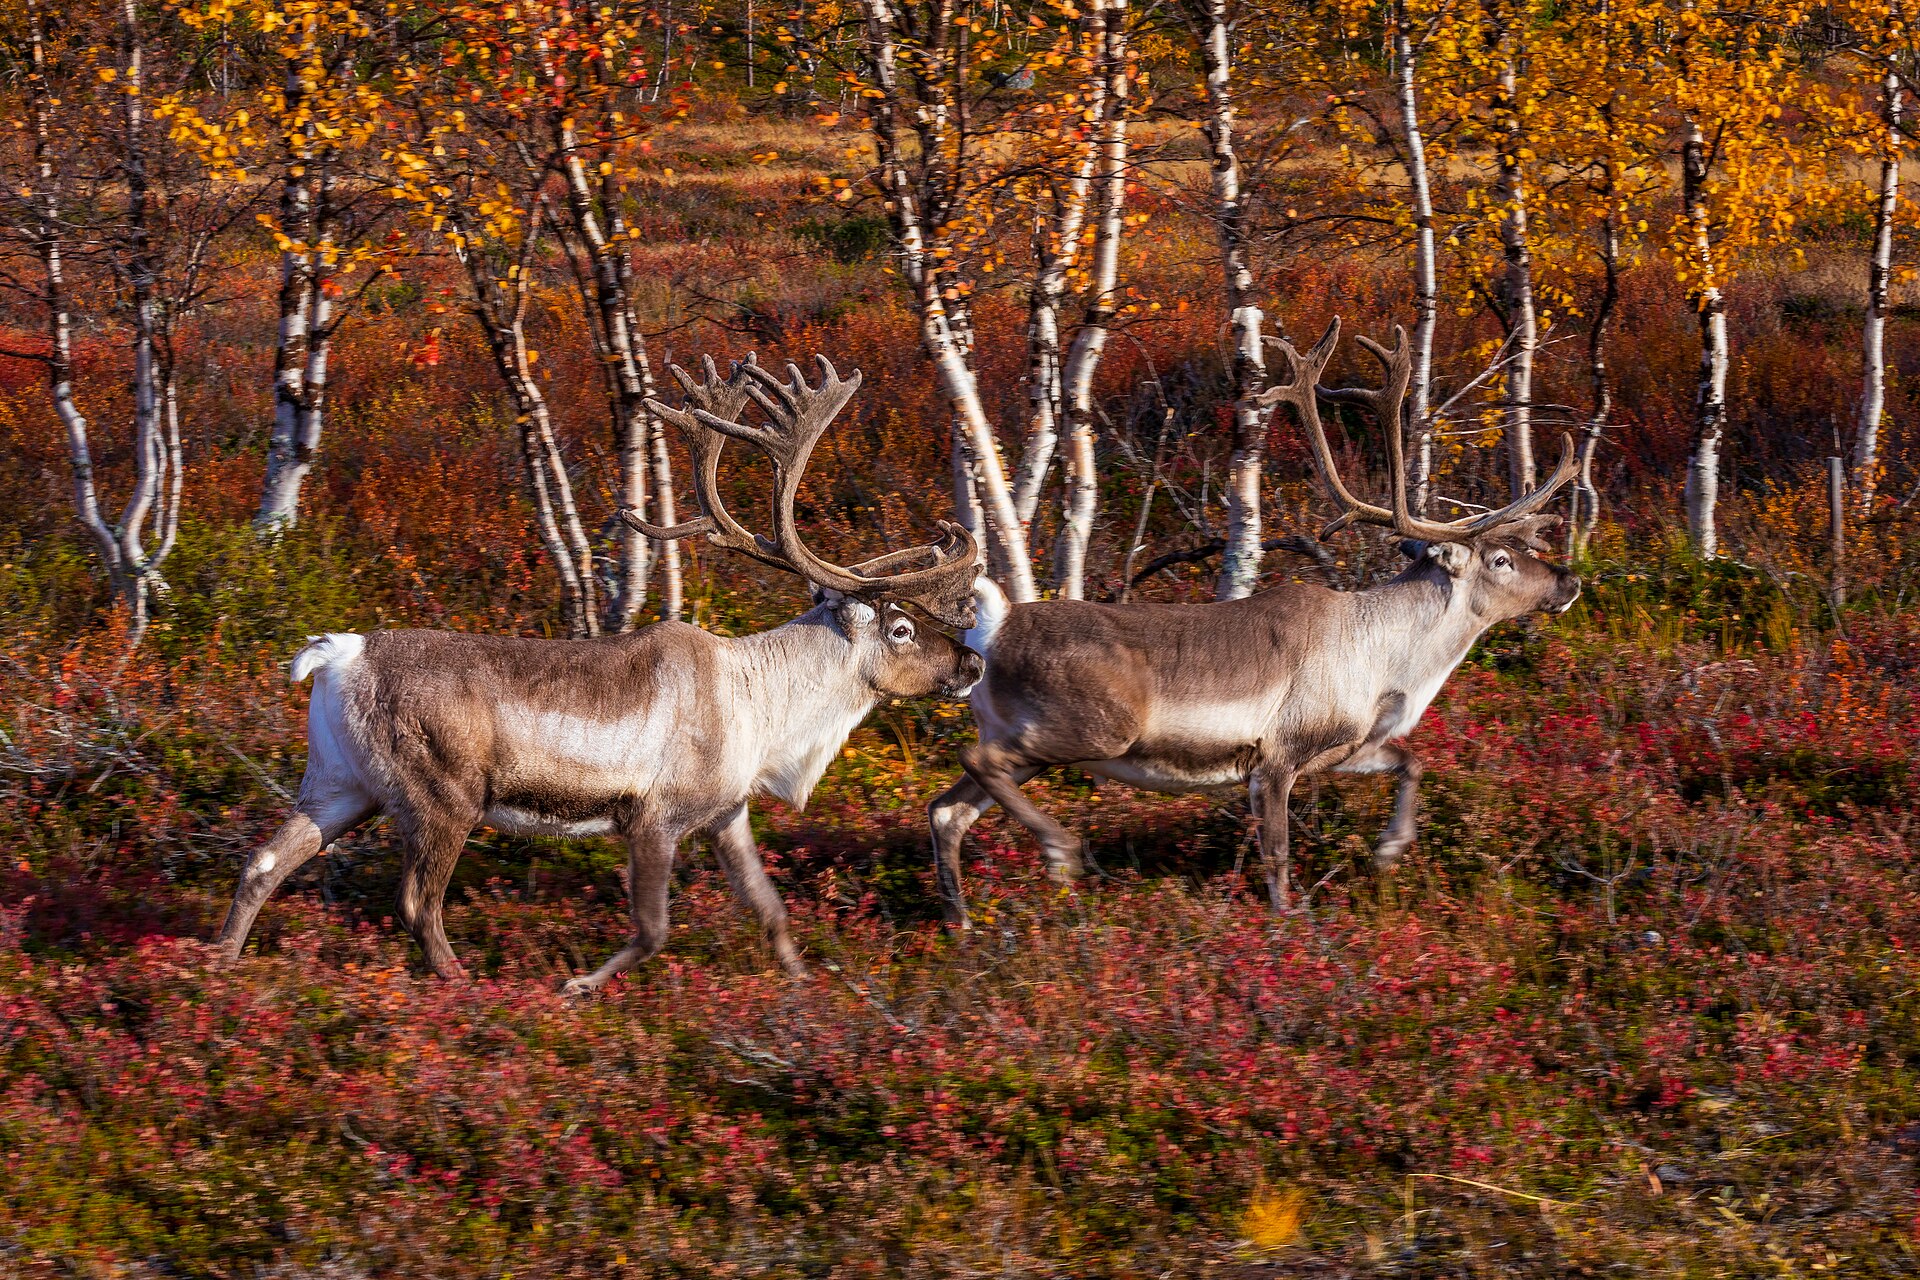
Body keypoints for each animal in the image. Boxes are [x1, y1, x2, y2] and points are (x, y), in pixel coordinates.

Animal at [214, 353, 984, 993]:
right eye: (902, 628)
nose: (973, 660)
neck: (764, 708)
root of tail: (337, 655)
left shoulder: (726, 813)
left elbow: (771, 911)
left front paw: (803, 987)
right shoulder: (653, 817)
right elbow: (653, 929)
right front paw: (579, 985)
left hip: (339, 784)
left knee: (262, 863)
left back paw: (216, 969)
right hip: (443, 795)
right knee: (415, 900)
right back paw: (463, 984)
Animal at [929, 318, 1581, 923]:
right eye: (1500, 560)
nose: (1569, 581)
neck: (1386, 667)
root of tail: (994, 625)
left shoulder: (1345, 747)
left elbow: (1411, 761)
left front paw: (1390, 850)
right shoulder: (1276, 759)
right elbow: (1278, 860)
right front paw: (1290, 925)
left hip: (1022, 742)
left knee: (947, 809)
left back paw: (962, 923)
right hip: (1085, 730)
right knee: (972, 763)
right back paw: (1060, 851)